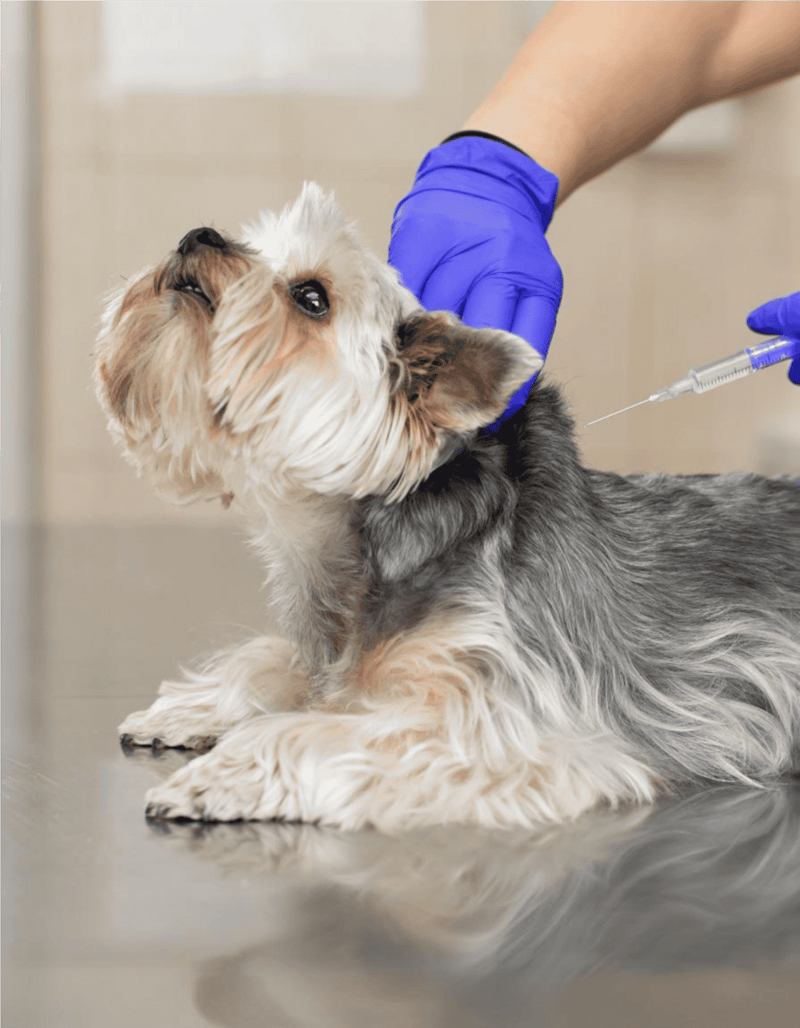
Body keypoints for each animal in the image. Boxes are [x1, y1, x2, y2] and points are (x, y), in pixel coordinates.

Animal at [94, 183, 800, 830]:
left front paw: (224, 771)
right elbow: (273, 659)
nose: (197, 235)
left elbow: (325, 727)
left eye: (312, 297)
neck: (350, 550)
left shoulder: (500, 723)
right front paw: (193, 706)